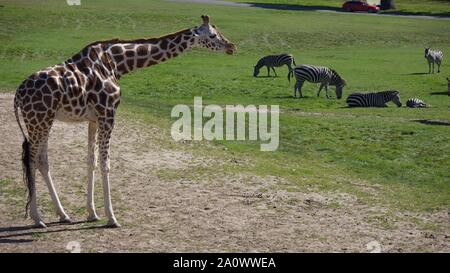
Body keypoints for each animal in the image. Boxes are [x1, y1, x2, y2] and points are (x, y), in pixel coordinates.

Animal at [13, 15, 236, 227]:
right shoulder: (108, 114)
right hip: (39, 120)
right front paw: (112, 218)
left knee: (42, 160)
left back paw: (63, 215)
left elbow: (91, 161)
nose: (232, 46)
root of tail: (18, 94)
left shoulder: (94, 119)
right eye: (213, 35)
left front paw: (92, 213)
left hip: (44, 121)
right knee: (31, 160)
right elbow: (106, 164)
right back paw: (37, 218)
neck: (117, 64)